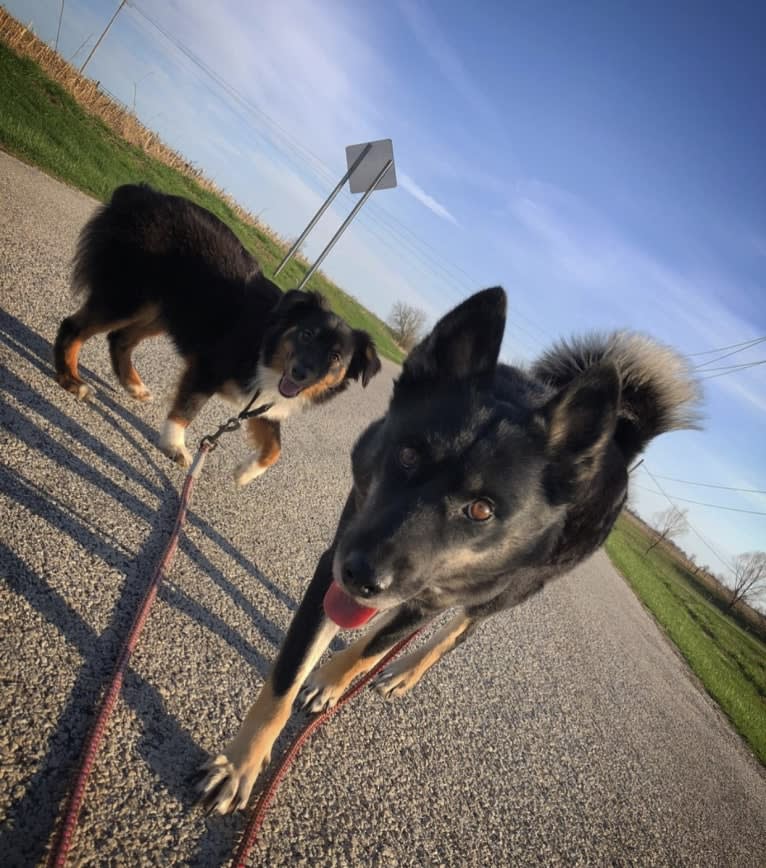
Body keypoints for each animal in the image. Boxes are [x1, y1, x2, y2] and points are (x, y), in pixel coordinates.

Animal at [52, 184, 382, 482]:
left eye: (336, 357)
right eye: (307, 334)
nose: (300, 373)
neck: (268, 345)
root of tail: (141, 193)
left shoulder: (261, 402)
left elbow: (276, 446)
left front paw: (245, 473)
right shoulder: (208, 368)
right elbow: (188, 408)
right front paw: (174, 445)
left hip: (164, 308)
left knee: (120, 339)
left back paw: (133, 385)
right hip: (129, 295)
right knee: (74, 327)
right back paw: (72, 381)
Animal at [196, 284, 704, 812]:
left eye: (481, 510)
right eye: (407, 454)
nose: (363, 578)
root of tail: (619, 442)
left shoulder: (418, 591)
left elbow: (372, 646)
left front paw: (333, 681)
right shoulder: (337, 558)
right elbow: (287, 676)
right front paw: (241, 763)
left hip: (503, 591)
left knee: (453, 633)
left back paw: (403, 671)